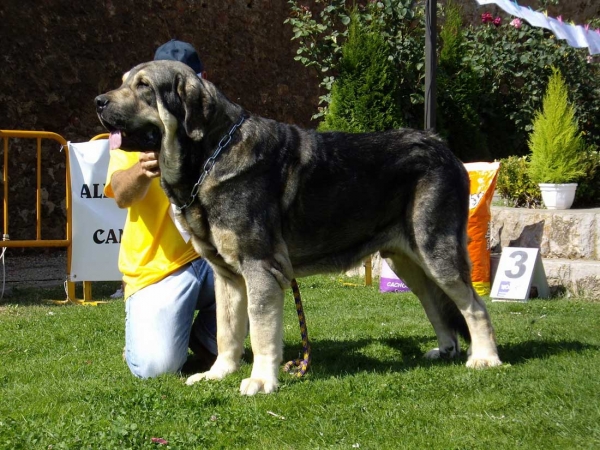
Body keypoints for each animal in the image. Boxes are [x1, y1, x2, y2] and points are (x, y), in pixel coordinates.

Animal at [97, 61, 502, 396]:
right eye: (123, 82)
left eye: (144, 86)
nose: (99, 101)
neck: (209, 155)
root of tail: (445, 149)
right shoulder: (228, 276)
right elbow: (227, 331)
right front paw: (218, 373)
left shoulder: (260, 267)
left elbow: (261, 330)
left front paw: (261, 380)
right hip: (406, 260)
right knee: (434, 301)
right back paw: (446, 348)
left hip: (436, 250)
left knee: (474, 305)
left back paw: (485, 358)